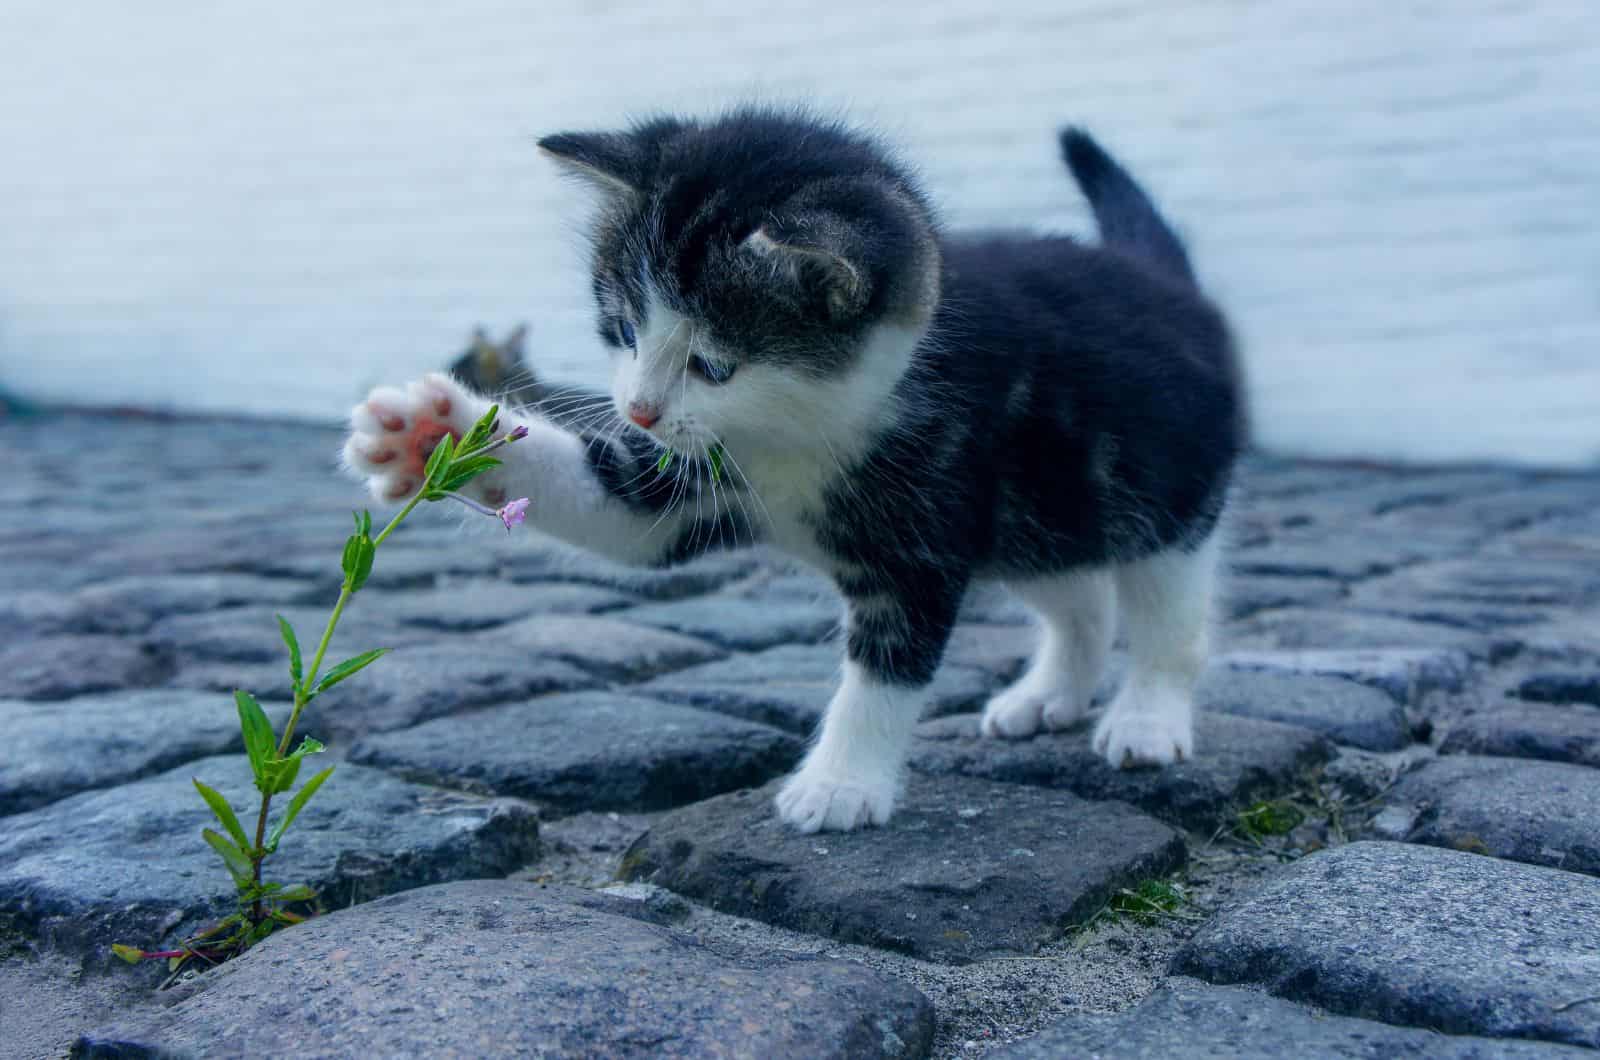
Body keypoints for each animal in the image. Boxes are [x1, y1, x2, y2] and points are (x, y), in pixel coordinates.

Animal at [347, 108, 1248, 839]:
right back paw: (1049, 694)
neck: (798, 431)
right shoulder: (693, 476)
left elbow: (886, 667)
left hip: (1164, 493)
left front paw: (841, 784)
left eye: (713, 364)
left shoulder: (925, 525)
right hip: (1041, 512)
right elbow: (619, 511)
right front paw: (433, 436)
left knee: (1168, 614)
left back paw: (1146, 718)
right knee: (1080, 597)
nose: (638, 410)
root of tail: (1167, 281)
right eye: (624, 328)